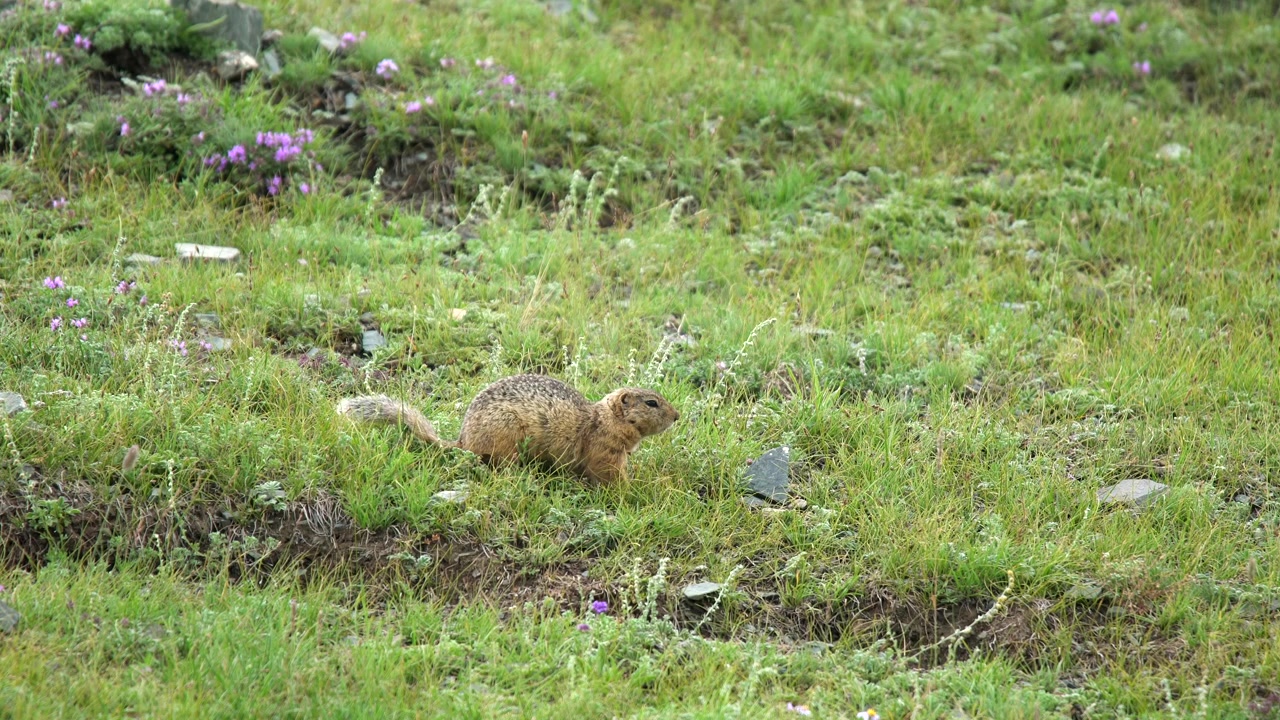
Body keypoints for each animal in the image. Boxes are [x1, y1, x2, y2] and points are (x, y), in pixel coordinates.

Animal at [335, 374, 680, 484]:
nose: (677, 416)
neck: (603, 420)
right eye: (652, 403)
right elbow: (609, 475)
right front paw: (632, 491)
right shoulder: (606, 451)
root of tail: (462, 440)